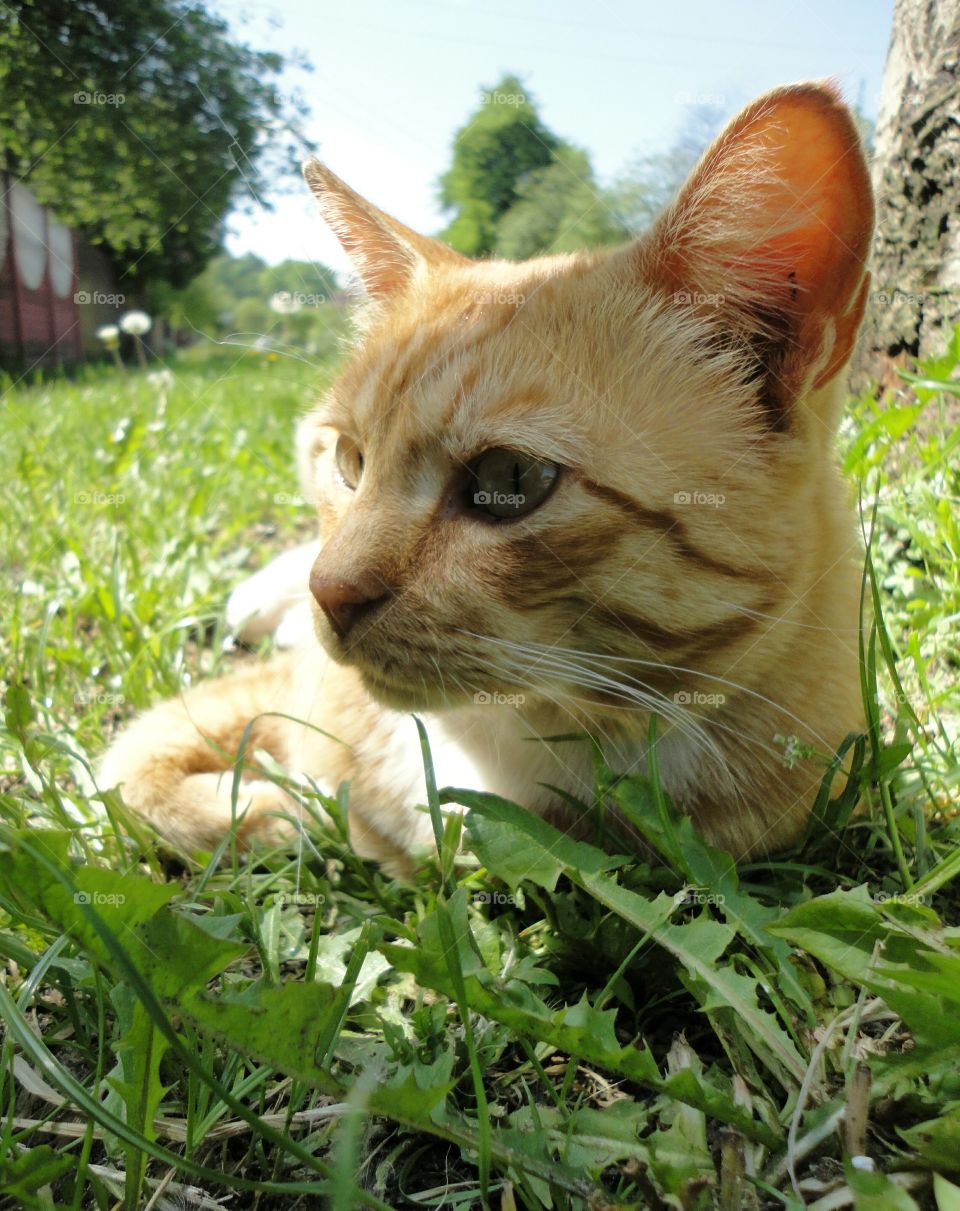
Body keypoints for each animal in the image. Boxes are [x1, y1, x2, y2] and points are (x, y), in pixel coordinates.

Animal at [99, 85, 876, 876]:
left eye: (510, 478)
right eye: (349, 461)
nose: (330, 593)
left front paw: (279, 811)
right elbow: (129, 768)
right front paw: (265, 810)